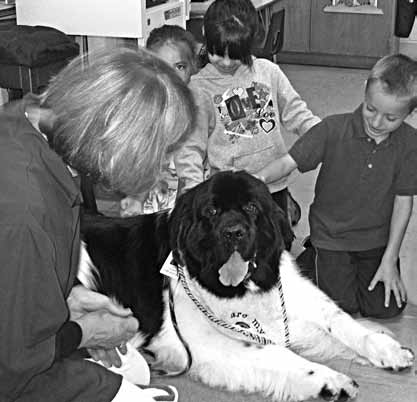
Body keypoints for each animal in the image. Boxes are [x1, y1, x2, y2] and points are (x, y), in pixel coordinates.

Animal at [79, 170, 412, 402]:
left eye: (251, 207)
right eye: (211, 211)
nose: (233, 232)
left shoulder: (290, 298)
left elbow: (340, 321)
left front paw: (387, 348)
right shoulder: (204, 343)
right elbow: (276, 353)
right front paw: (331, 380)